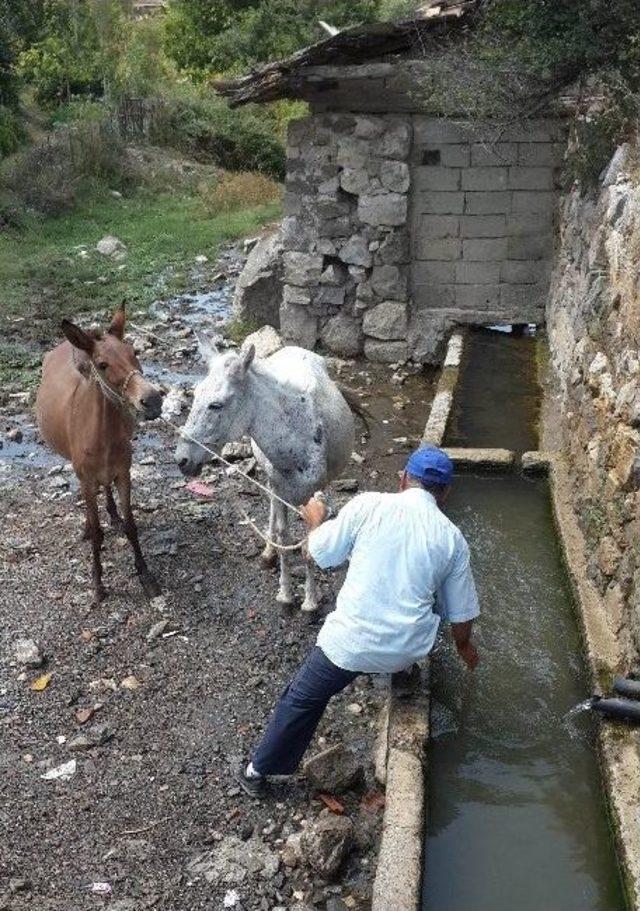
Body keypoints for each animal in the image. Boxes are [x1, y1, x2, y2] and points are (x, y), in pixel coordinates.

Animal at [36, 306, 164, 604]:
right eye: (102, 365)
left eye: (134, 352)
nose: (152, 400)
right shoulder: (87, 478)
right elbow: (96, 533)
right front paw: (97, 583)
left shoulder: (123, 473)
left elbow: (131, 525)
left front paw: (146, 575)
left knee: (105, 491)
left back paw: (112, 514)